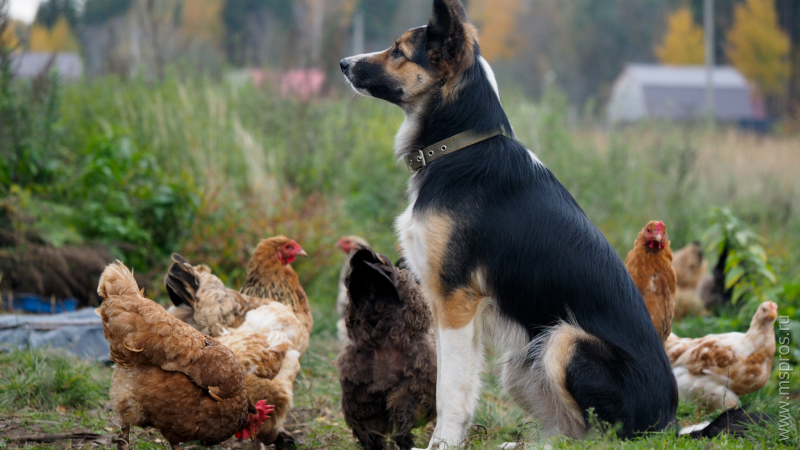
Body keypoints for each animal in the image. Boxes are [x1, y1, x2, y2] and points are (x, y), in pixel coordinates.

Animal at [340, 0, 680, 446]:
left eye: (398, 51)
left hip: (563, 341)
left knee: (598, 436)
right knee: (569, 432)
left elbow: (449, 389)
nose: (343, 63)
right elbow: (454, 382)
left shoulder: (456, 302)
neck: (458, 146)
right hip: (523, 361)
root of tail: (670, 420)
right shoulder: (445, 306)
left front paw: (443, 443)